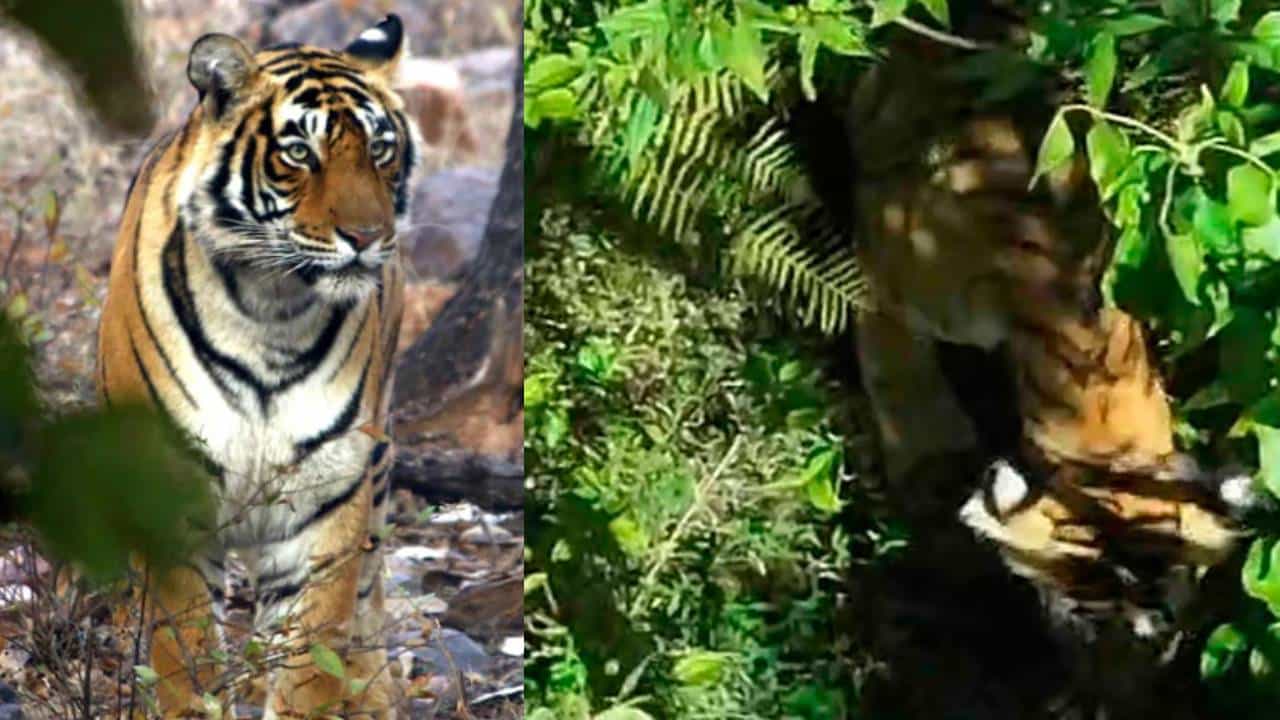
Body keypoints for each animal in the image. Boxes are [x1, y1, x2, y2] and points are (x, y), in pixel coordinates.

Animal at [95, 15, 421, 718]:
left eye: (380, 149)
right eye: (299, 152)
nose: (369, 237)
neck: (272, 309)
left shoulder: (329, 496)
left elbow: (310, 659)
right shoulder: (169, 489)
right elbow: (184, 652)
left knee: (370, 596)